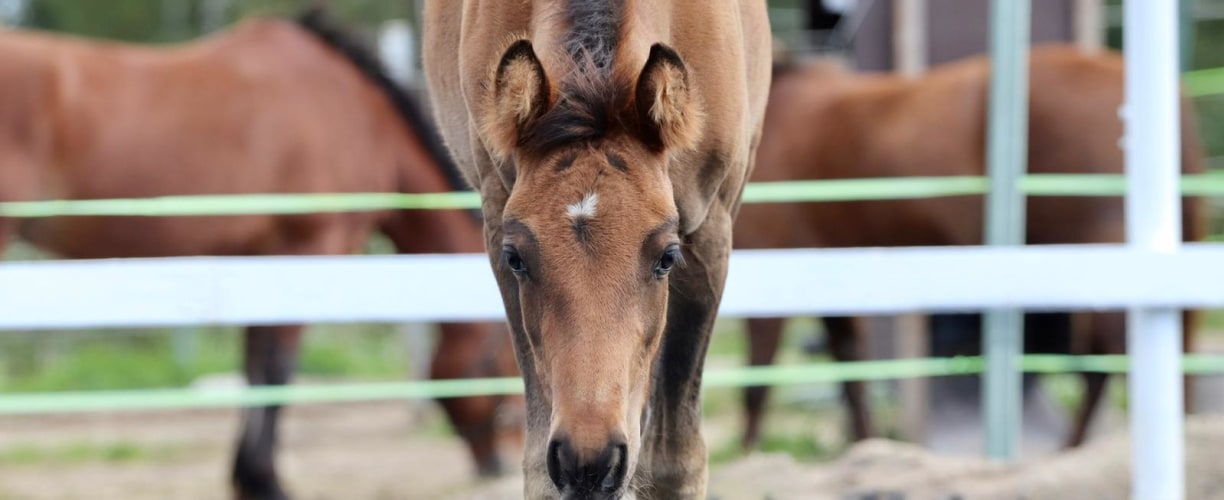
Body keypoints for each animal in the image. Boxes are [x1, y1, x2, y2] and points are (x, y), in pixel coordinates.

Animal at [0, 8, 521, 500]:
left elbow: (254, 365)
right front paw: (267, 481)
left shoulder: (257, 261)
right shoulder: (307, 249)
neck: (356, 115)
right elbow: (276, 368)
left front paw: (247, 478)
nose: (503, 462)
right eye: (506, 362)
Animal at [421, 1, 763, 497]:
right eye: (515, 258)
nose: (589, 461)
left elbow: (674, 461)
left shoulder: (709, 230)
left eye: (667, 257)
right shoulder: (495, 207)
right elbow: (540, 467)